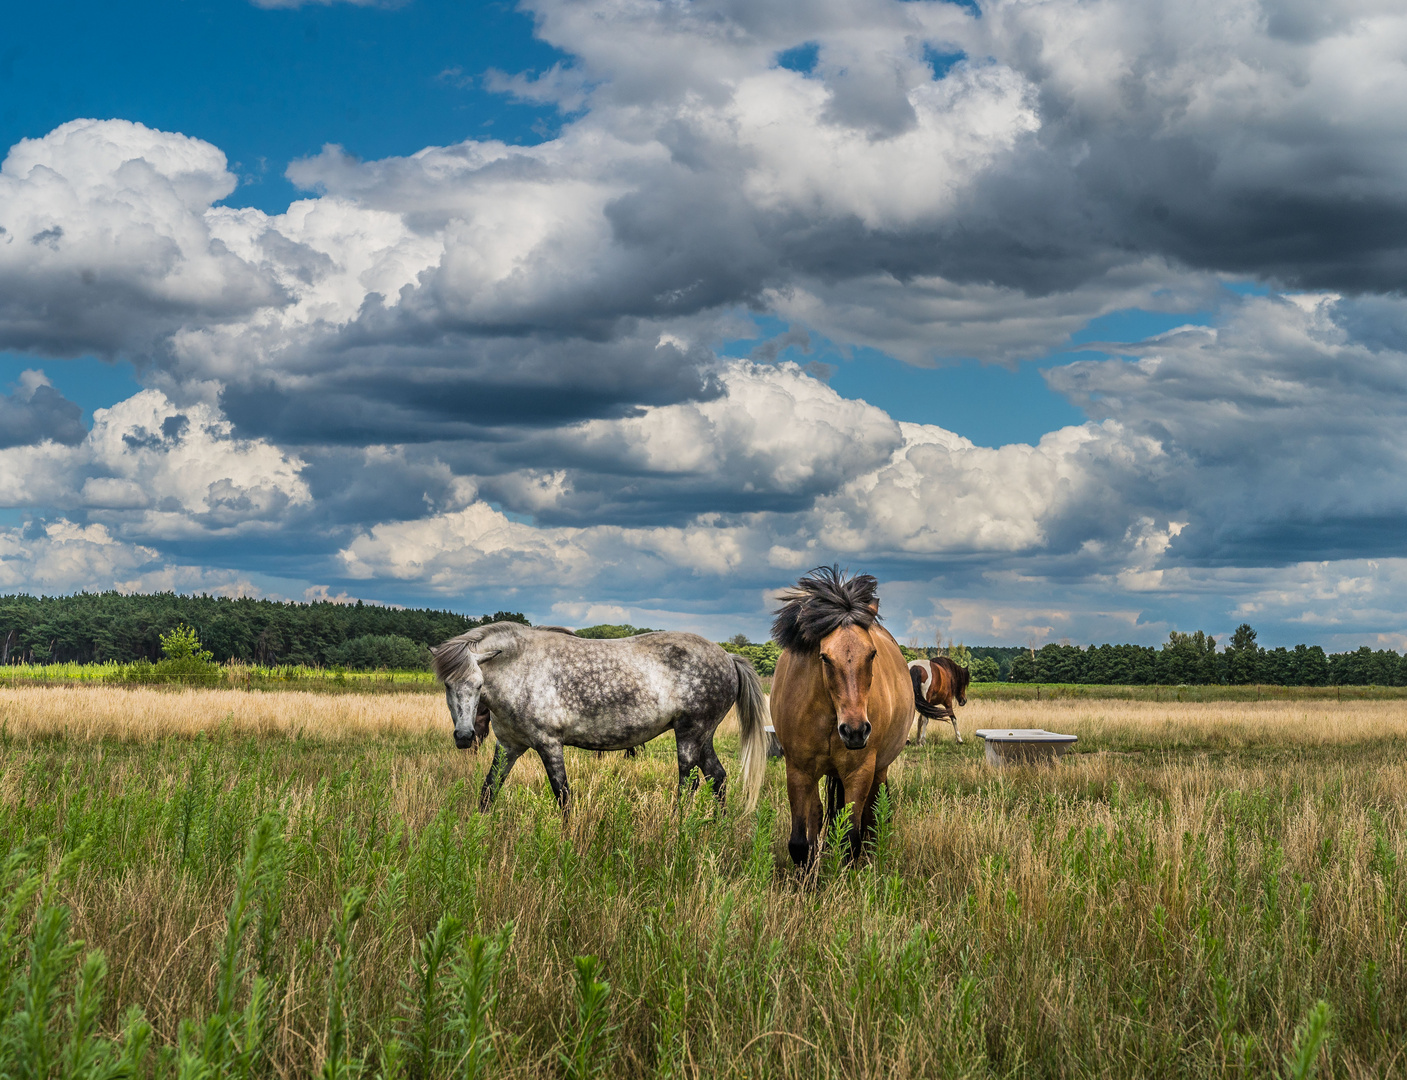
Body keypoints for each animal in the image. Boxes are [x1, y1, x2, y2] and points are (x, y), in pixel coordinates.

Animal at [430, 615, 771, 810]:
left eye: (478, 684)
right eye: (447, 684)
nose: (464, 736)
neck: (521, 668)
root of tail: (728, 656)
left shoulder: (549, 745)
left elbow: (563, 795)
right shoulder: (509, 746)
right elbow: (488, 791)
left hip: (690, 734)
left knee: (689, 784)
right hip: (702, 738)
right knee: (718, 778)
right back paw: (715, 829)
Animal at [765, 568, 917, 866]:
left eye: (872, 653)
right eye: (824, 657)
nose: (855, 731)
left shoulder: (859, 772)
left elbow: (850, 841)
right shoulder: (798, 771)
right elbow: (799, 842)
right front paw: (807, 876)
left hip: (879, 769)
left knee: (873, 813)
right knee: (817, 813)